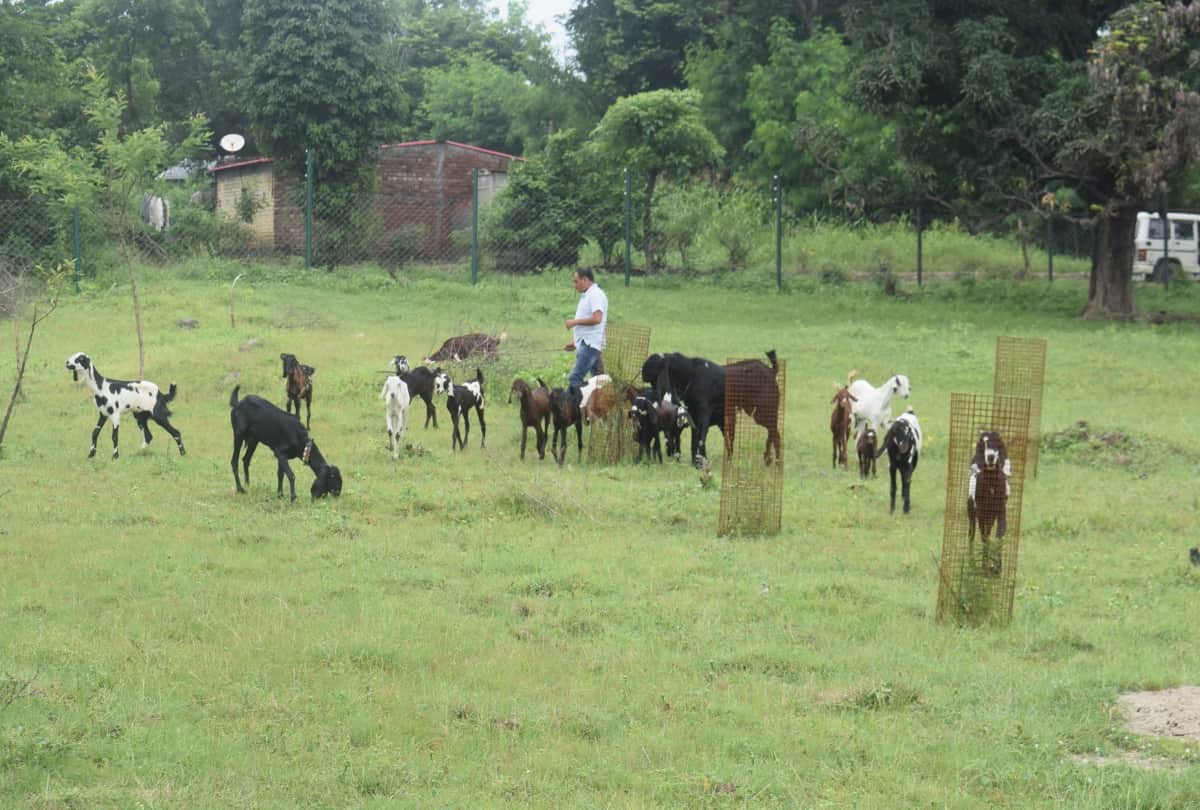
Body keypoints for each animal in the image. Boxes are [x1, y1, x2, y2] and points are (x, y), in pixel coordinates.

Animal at [967, 430, 1011, 574]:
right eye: (984, 443)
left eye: (998, 443)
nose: (990, 457)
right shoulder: (981, 512)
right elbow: (984, 537)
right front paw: (985, 566)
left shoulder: (1001, 511)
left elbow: (999, 536)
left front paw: (998, 567)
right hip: (972, 513)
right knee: (972, 535)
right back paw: (972, 563)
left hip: (990, 517)